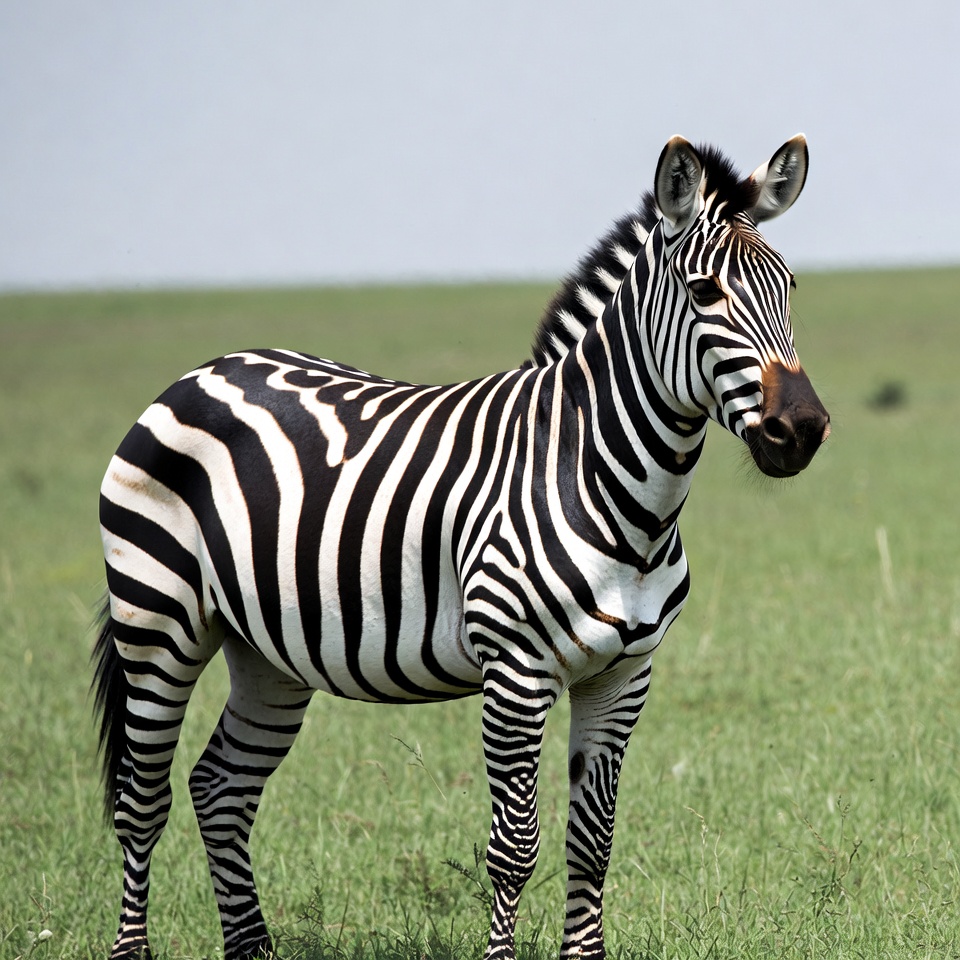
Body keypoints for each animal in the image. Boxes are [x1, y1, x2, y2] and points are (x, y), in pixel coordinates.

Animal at [93, 134, 829, 960]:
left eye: (789, 289)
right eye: (705, 293)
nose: (802, 430)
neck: (600, 476)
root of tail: (205, 370)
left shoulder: (624, 675)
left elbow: (593, 843)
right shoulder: (516, 672)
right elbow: (515, 849)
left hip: (265, 652)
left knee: (219, 788)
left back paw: (251, 949)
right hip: (158, 621)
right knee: (142, 802)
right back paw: (132, 946)